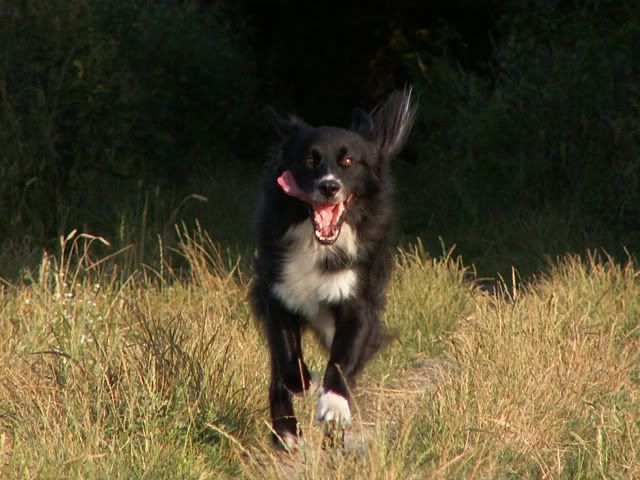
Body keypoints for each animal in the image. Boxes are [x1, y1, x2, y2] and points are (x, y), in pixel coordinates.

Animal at [250, 89, 416, 448]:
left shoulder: (357, 300)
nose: (329, 187)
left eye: (348, 161)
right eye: (309, 160)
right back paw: (286, 433)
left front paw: (334, 406)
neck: (319, 244)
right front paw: (303, 382)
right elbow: (286, 355)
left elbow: (342, 360)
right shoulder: (277, 291)